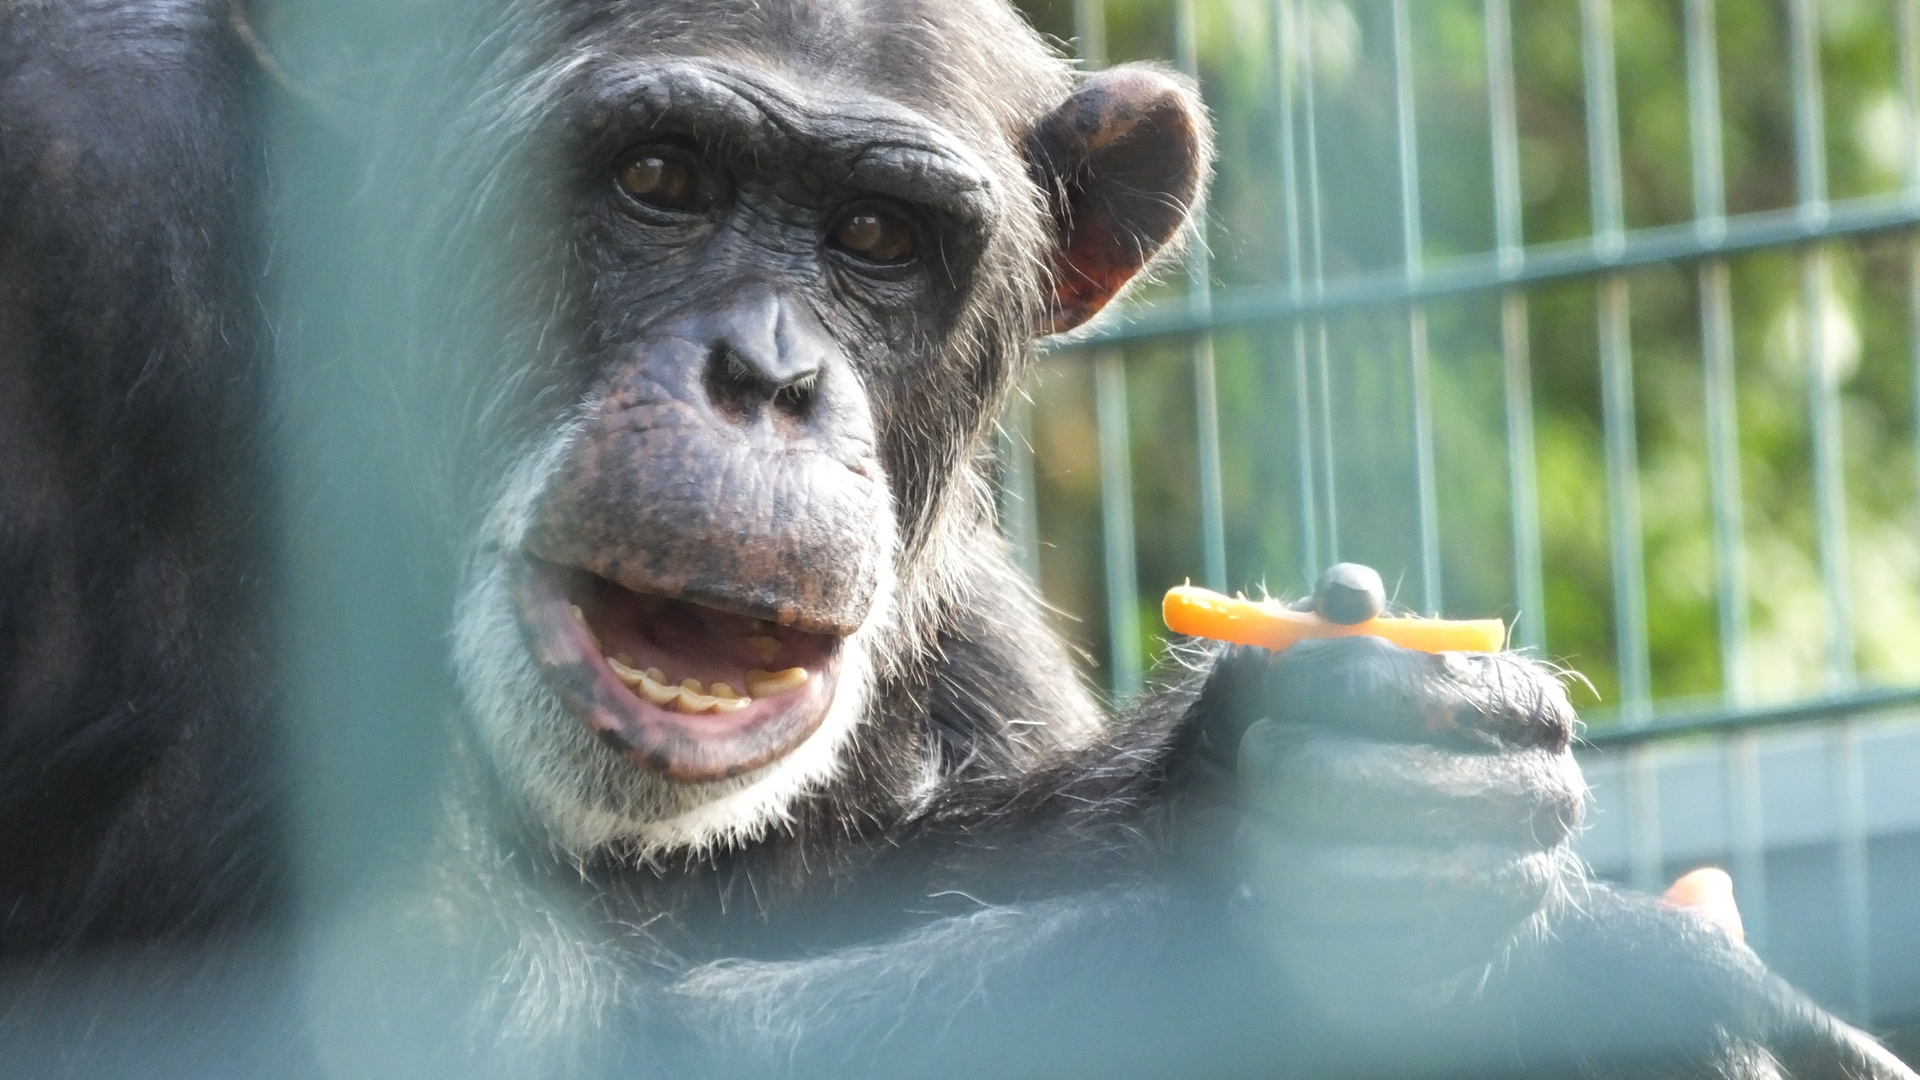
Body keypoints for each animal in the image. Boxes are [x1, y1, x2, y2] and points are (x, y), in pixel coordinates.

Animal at [0, 2, 1912, 1076]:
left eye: (876, 238)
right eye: (658, 179)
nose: (770, 378)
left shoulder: (965, 619)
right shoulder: (119, 229)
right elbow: (440, 1025)